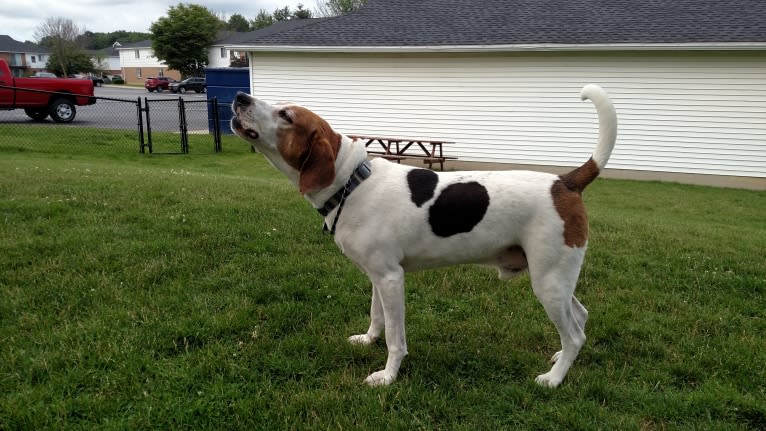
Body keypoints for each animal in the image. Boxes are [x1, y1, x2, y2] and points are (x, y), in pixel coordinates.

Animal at [231, 86, 620, 390]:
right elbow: (377, 317)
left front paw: (387, 376)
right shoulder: (377, 276)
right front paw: (368, 339)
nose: (239, 97)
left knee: (575, 334)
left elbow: (395, 337)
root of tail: (565, 182)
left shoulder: (391, 278)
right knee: (580, 317)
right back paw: (559, 357)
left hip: (548, 282)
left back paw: (554, 378)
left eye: (286, 115)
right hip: (557, 279)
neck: (351, 182)